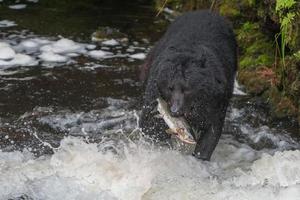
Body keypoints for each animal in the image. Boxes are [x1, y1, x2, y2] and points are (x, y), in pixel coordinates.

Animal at [140, 10, 237, 161]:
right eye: (170, 88)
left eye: (187, 90)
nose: (175, 111)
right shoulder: (154, 88)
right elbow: (149, 124)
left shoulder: (215, 99)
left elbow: (212, 130)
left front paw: (200, 156)